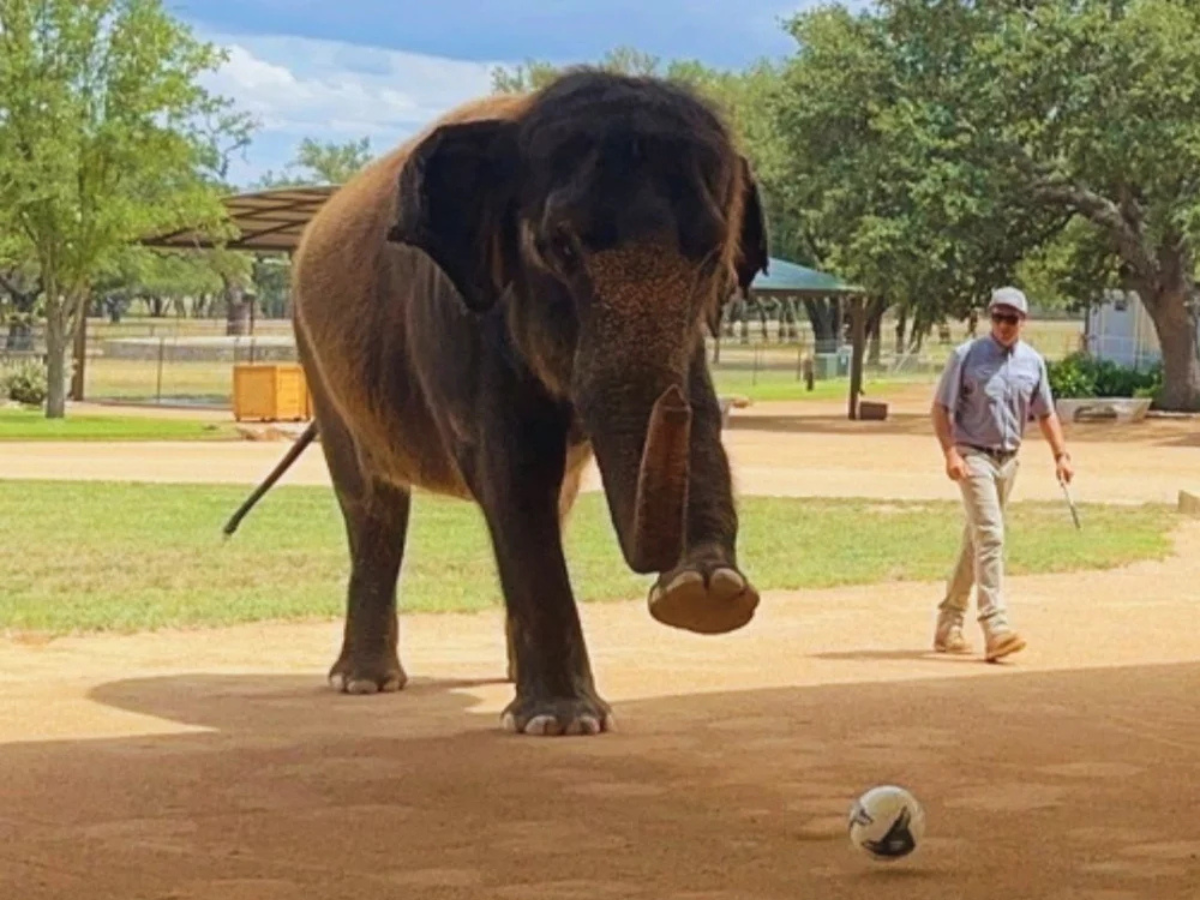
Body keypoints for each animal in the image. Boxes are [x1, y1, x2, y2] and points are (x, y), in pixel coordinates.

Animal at [222, 68, 771, 737]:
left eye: (711, 255)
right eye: (560, 247)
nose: (680, 582)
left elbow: (697, 426)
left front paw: (708, 594)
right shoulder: (463, 323)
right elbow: (512, 472)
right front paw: (563, 722)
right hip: (319, 364)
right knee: (371, 504)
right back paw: (364, 682)